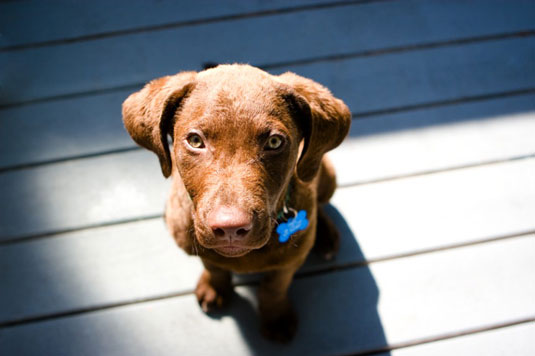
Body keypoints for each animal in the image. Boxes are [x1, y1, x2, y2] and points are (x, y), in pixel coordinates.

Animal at [122, 64, 352, 342]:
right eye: (195, 141)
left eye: (274, 142)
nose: (230, 228)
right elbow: (214, 266)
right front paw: (215, 288)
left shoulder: (289, 262)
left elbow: (275, 286)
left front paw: (276, 318)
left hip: (325, 173)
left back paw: (326, 235)